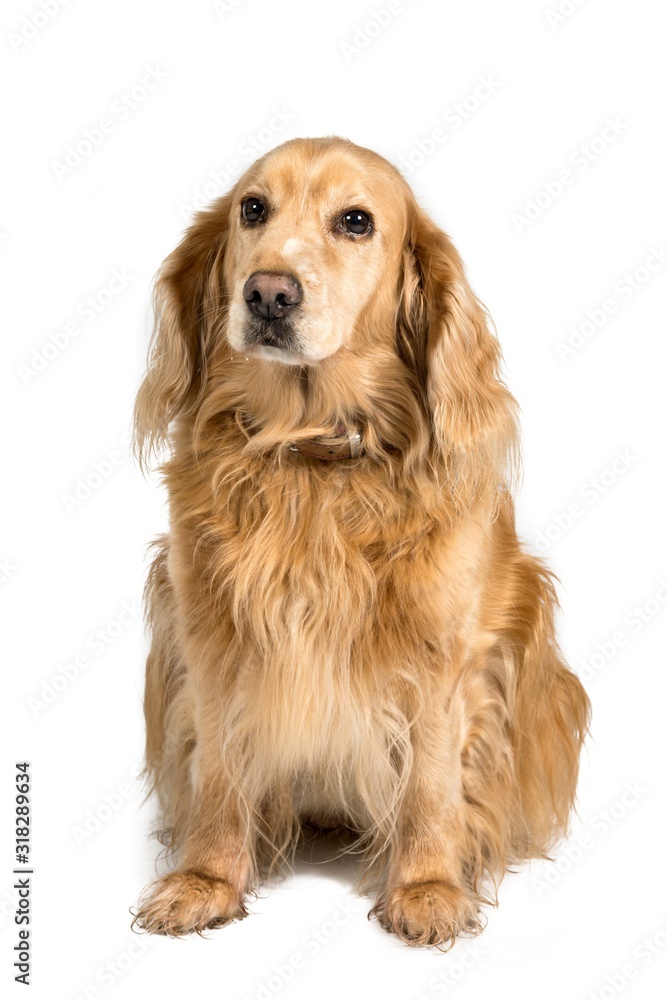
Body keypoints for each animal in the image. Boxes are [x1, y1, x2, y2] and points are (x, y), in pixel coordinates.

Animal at [132, 137, 588, 948]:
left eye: (355, 221)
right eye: (253, 208)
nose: (269, 293)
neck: (312, 456)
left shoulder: (442, 654)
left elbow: (432, 783)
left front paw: (428, 886)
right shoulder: (208, 634)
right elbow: (218, 771)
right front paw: (207, 880)